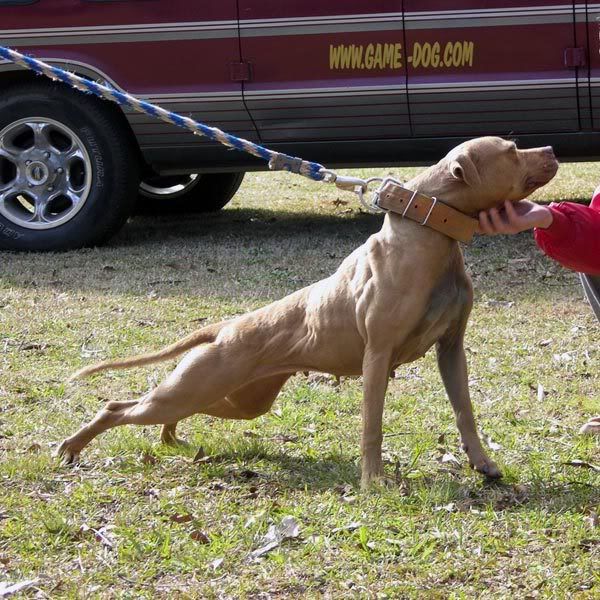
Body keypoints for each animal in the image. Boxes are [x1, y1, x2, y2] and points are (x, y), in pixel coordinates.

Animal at [59, 136, 556, 488]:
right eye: (511, 151)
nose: (551, 149)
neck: (430, 229)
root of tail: (226, 327)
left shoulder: (451, 350)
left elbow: (464, 410)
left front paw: (483, 463)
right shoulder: (377, 356)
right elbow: (372, 425)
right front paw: (373, 482)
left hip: (236, 398)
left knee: (165, 408)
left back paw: (168, 434)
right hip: (200, 385)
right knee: (117, 406)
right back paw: (72, 446)